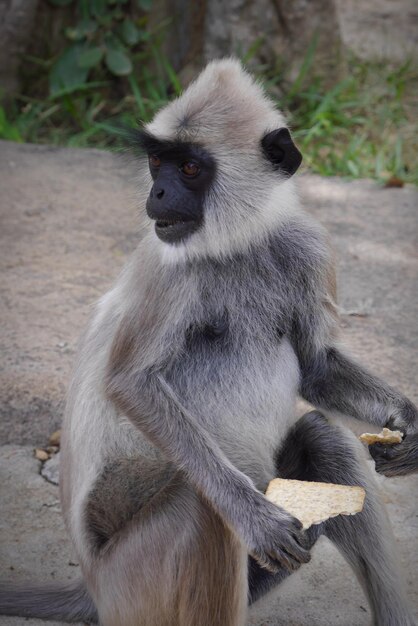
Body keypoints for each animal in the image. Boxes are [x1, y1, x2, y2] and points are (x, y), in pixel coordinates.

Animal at [0, 59, 416, 624]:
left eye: (190, 169)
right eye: (158, 163)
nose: (156, 194)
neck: (237, 242)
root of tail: (90, 585)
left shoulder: (308, 245)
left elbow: (318, 368)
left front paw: (409, 423)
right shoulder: (169, 268)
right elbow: (130, 383)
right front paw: (253, 517)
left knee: (323, 439)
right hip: (132, 580)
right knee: (205, 508)